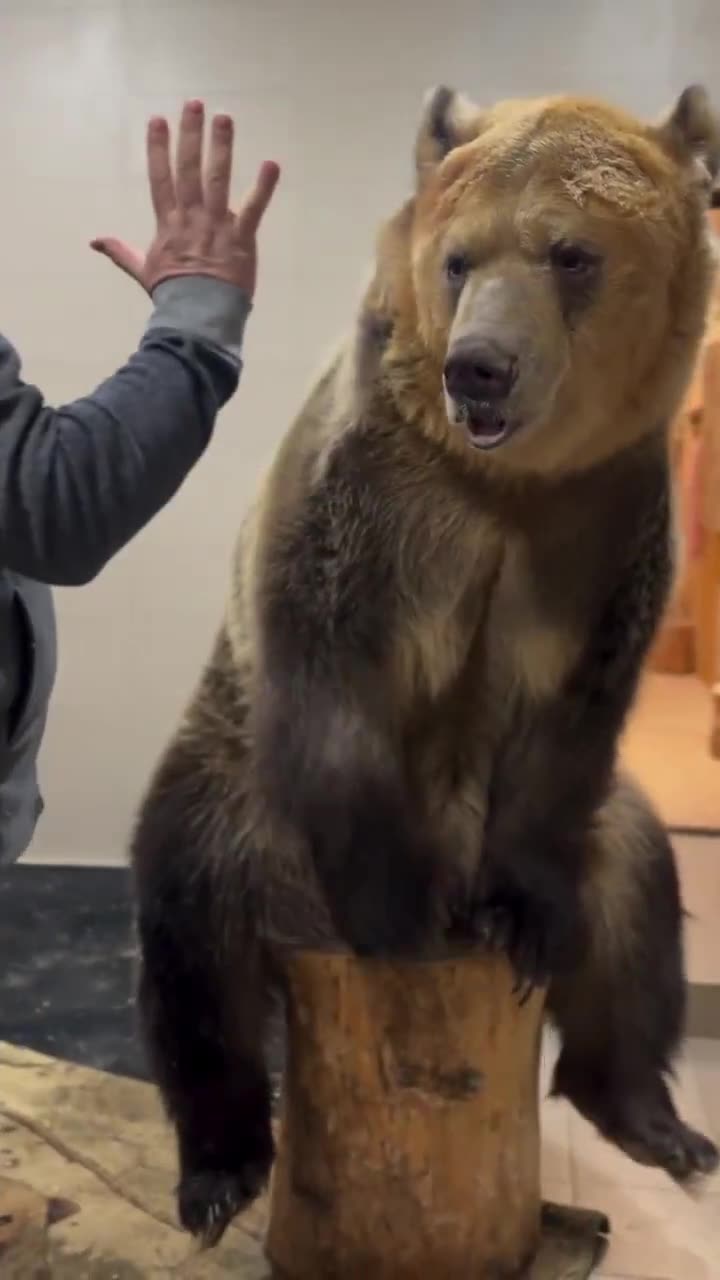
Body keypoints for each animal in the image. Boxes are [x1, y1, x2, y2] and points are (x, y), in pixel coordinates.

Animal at [130, 83, 720, 1246]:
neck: (507, 481)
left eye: (571, 253)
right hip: (246, 805)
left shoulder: (601, 528)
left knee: (637, 900)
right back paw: (220, 1165)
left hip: (606, 834)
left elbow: (572, 718)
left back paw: (652, 1116)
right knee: (191, 917)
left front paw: (519, 919)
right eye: (459, 256)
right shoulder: (375, 497)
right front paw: (399, 912)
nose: (479, 365)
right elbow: (336, 679)